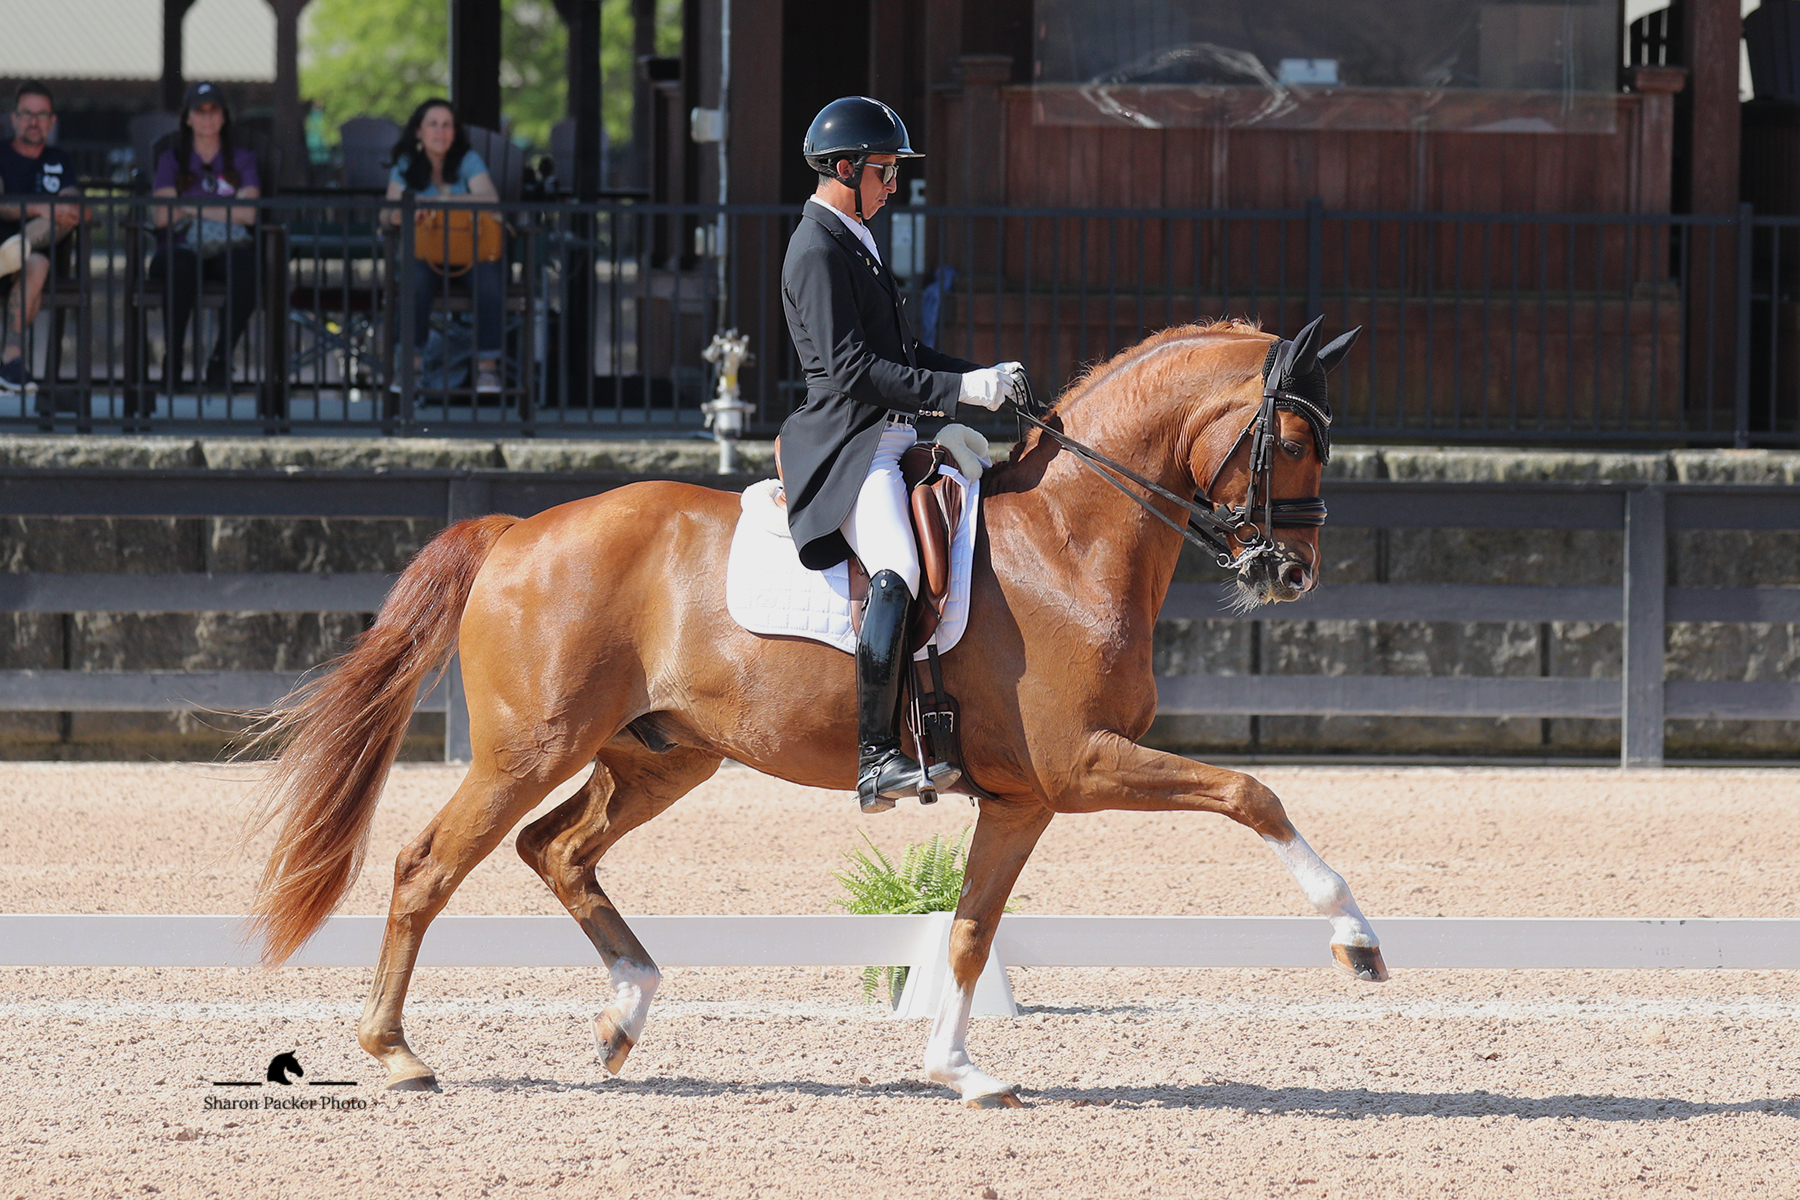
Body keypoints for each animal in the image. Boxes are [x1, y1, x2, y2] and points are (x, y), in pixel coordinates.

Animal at [246, 316, 1382, 1108]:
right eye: (1293, 439)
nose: (1292, 573)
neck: (1070, 537)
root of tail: (519, 530)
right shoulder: (1083, 764)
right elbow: (1252, 792)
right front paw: (1356, 940)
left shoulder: (1024, 796)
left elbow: (969, 930)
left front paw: (959, 1069)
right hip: (531, 747)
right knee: (429, 865)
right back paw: (397, 1053)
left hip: (662, 757)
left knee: (556, 850)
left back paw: (625, 1013)